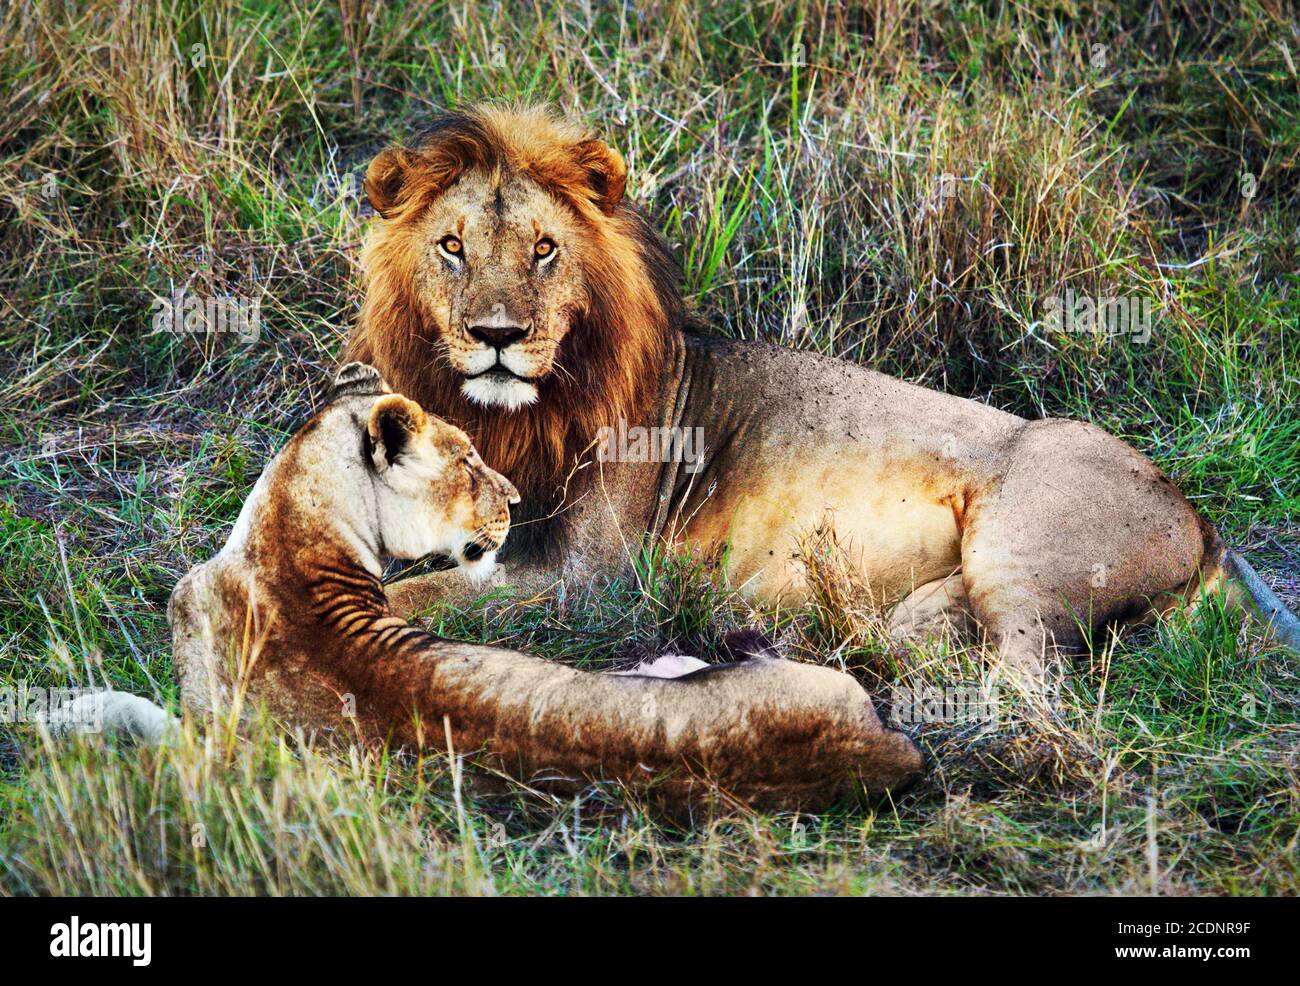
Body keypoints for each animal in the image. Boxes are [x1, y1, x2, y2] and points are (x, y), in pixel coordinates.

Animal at [348, 104, 1300, 681]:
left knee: (1026, 688)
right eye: (452, 247)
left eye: (544, 249)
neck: (514, 416)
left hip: (1024, 543)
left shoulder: (588, 578)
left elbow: (413, 595)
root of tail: (1202, 519)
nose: (497, 336)